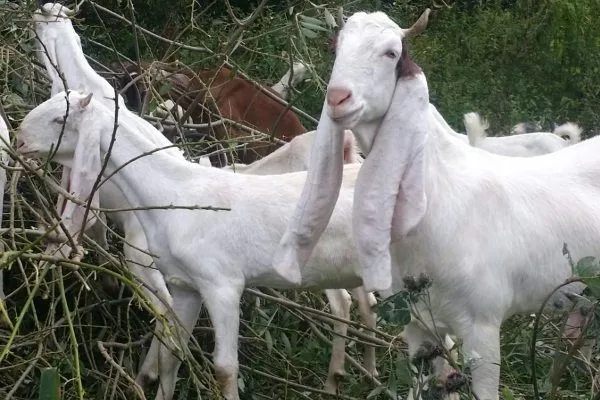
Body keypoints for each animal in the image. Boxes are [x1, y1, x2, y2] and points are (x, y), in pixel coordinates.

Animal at [276, 9, 600, 400]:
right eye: (336, 47)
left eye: (391, 53)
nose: (338, 98)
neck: (442, 196)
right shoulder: (418, 325)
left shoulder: (483, 328)